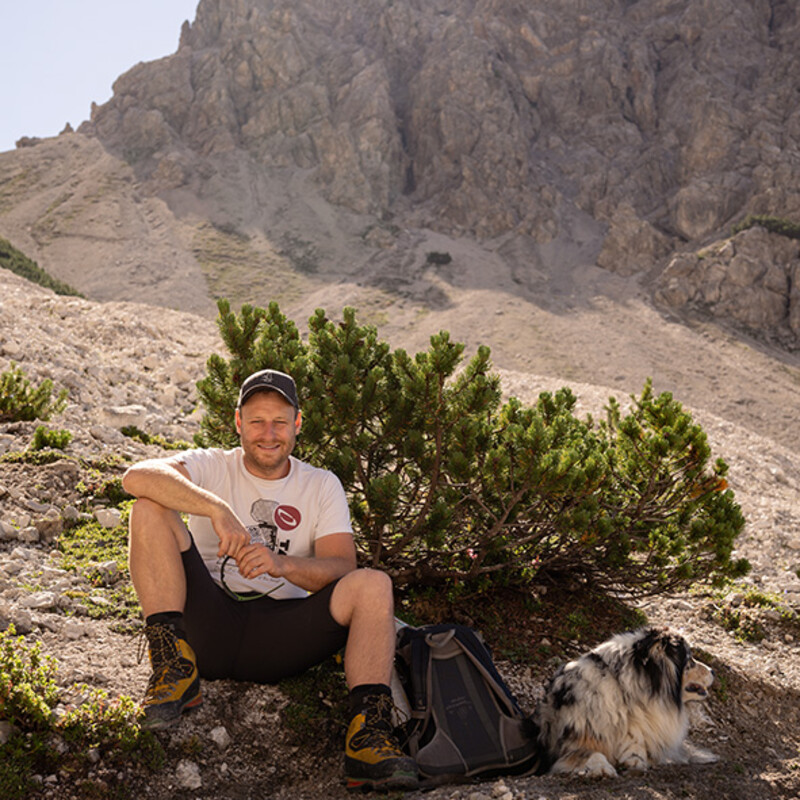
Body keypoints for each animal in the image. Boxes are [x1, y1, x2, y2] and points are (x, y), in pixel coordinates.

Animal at [532, 624, 720, 776]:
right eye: (690, 660)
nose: (713, 671)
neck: (623, 691)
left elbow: (637, 753)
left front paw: (634, 761)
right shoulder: (576, 743)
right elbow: (592, 753)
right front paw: (601, 768)